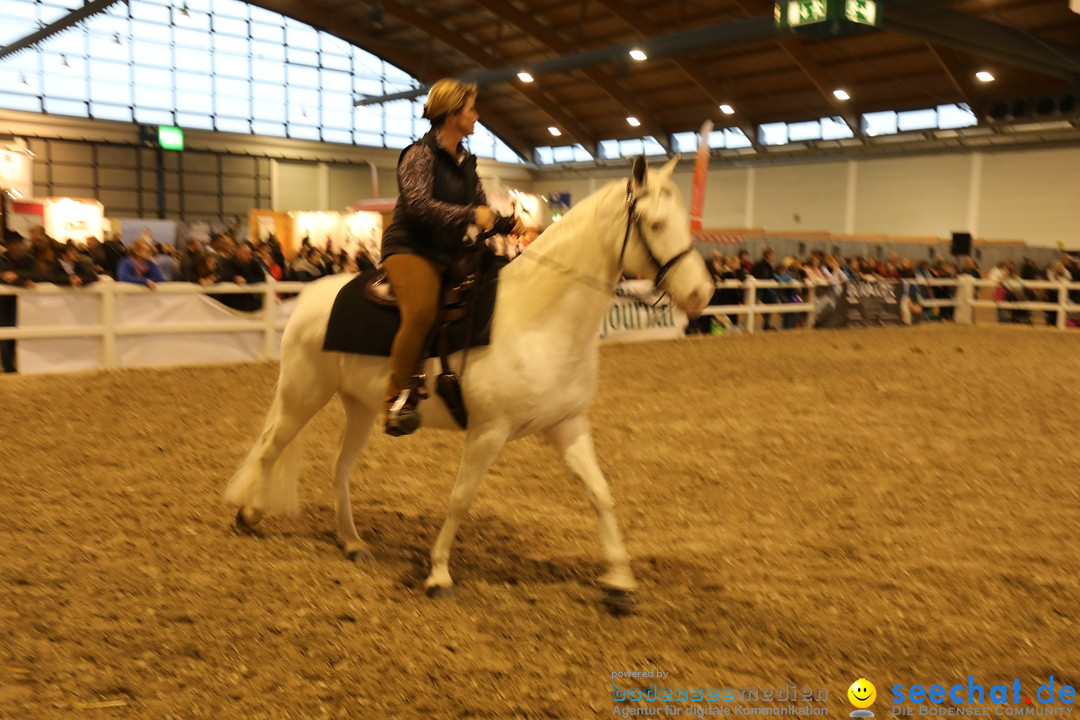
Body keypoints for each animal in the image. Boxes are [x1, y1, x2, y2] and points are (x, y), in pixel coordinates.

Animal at [223, 155, 712, 613]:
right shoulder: (487, 432)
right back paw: (249, 513)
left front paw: (620, 583)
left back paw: (352, 542)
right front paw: (439, 573)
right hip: (303, 395)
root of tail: (313, 297)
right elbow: (461, 498)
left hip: (359, 407)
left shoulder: (567, 425)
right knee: (269, 448)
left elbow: (601, 495)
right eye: (656, 223)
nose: (702, 294)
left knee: (339, 469)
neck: (537, 315)